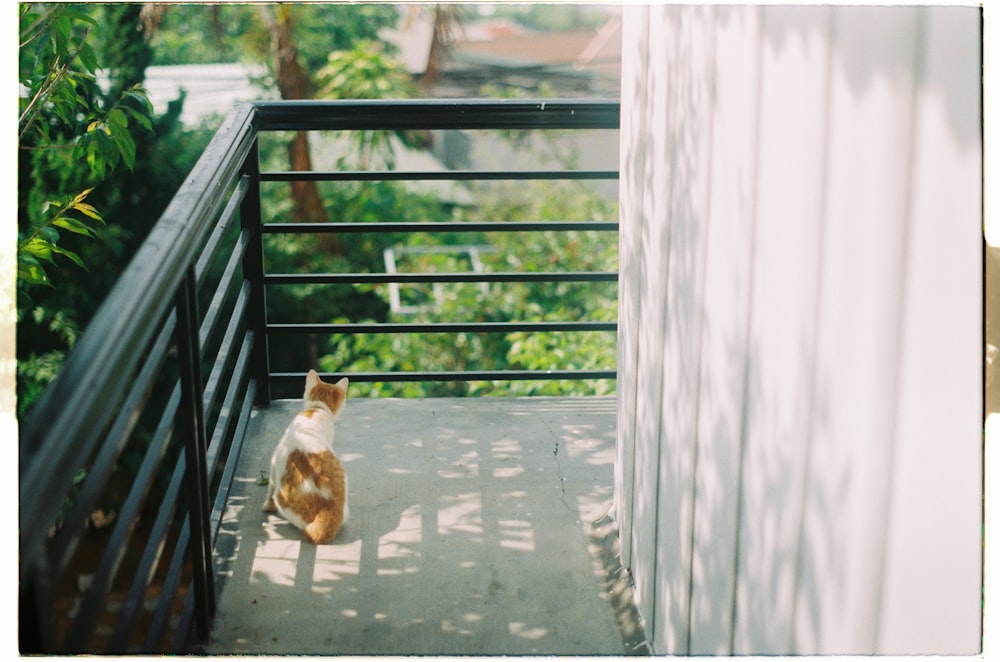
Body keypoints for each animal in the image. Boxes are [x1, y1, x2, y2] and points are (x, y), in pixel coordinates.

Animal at [264, 370, 350, 548]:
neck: (317, 410)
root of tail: (329, 508)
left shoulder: (274, 463)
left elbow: (269, 487)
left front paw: (267, 507)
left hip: (282, 499)